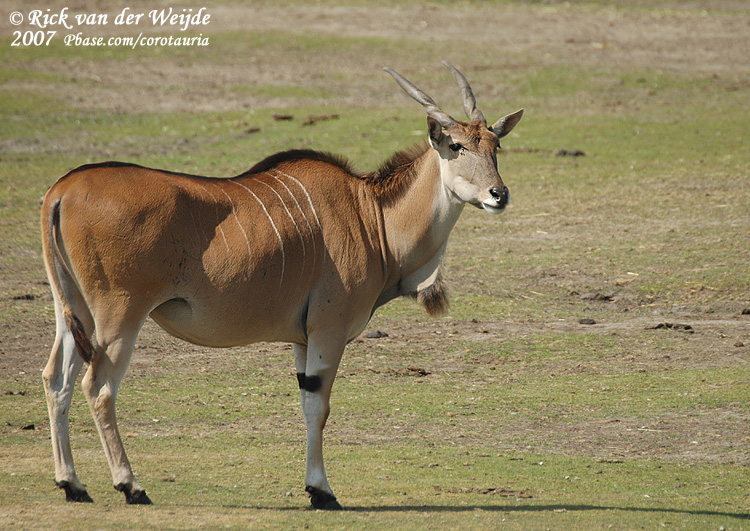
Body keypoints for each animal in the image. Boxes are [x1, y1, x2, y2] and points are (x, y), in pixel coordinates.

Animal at [41, 63, 524, 512]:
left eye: (495, 145)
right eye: (456, 146)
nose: (499, 195)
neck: (372, 216)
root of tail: (62, 189)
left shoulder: (302, 337)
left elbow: (306, 401)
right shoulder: (328, 330)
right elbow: (319, 406)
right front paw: (321, 491)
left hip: (75, 313)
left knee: (56, 379)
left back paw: (72, 484)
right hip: (120, 315)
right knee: (98, 387)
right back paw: (130, 485)